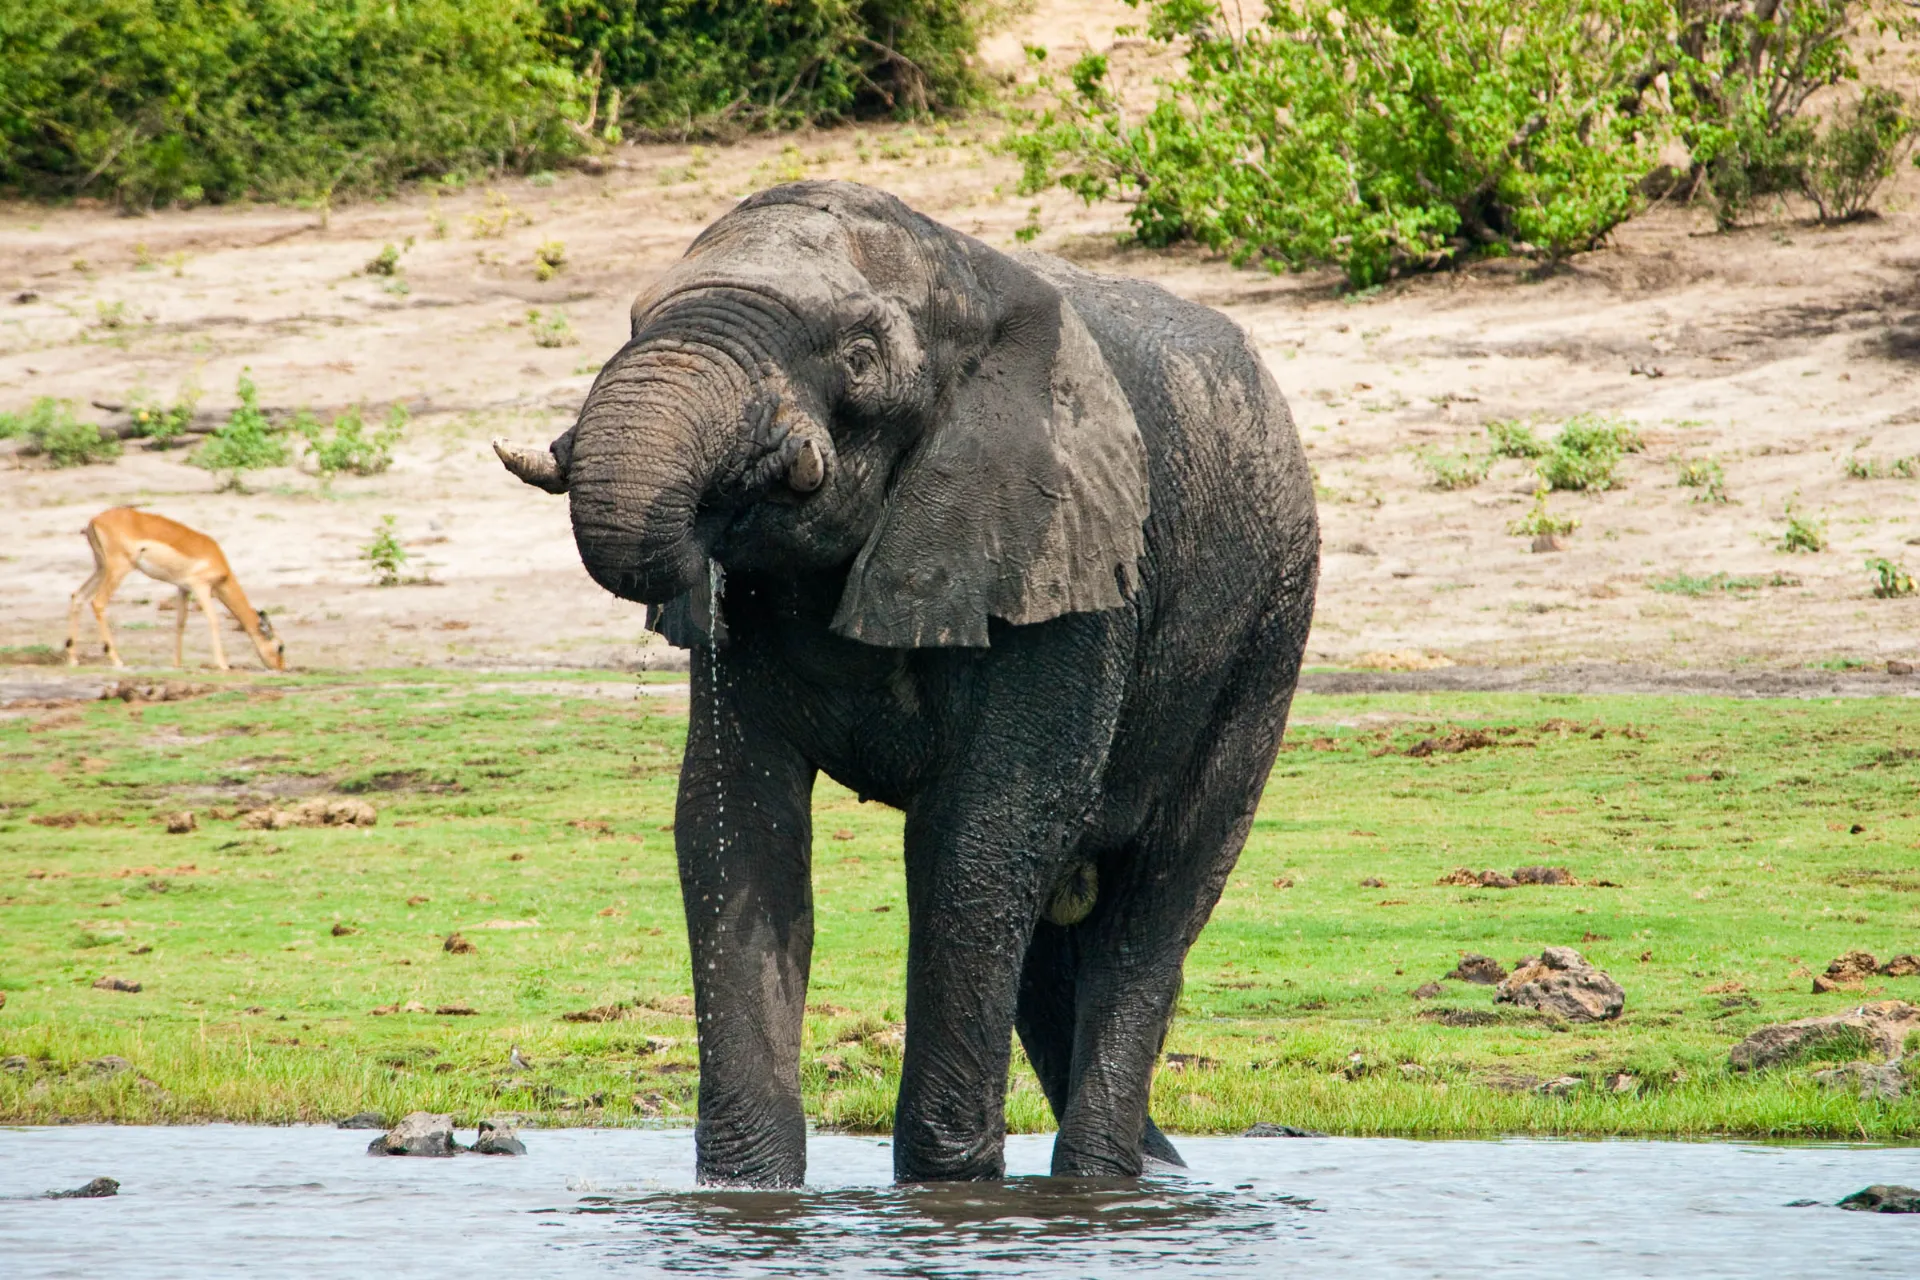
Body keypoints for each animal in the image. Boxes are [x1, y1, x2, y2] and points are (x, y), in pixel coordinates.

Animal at [496, 181, 1318, 1186]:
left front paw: (944, 1186)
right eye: (632, 321)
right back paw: (1151, 1173)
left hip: (1268, 633)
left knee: (1151, 910)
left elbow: (983, 832)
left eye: (860, 358)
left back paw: (1100, 1173)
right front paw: (745, 1190)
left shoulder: (1060, 562)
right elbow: (737, 820)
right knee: (1050, 946)